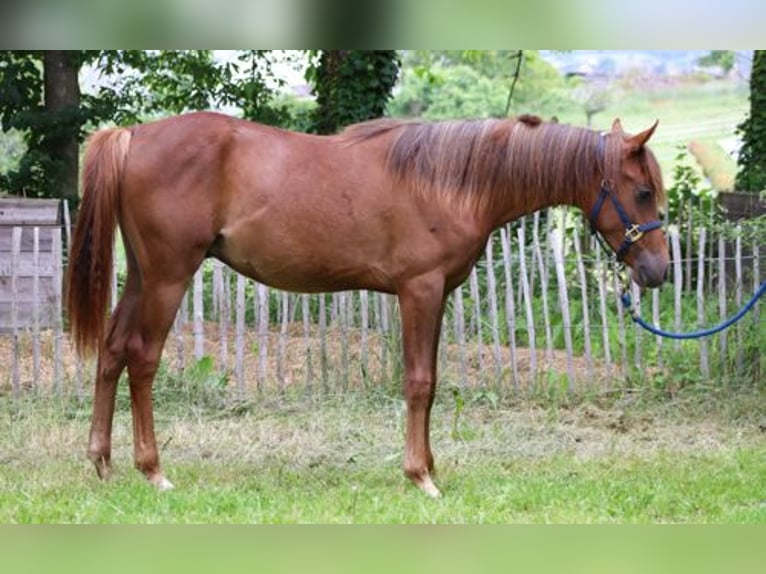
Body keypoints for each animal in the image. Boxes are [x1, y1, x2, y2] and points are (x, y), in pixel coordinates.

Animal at [66, 112, 668, 500]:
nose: (658, 272)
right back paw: (153, 471)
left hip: (144, 276)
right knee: (143, 360)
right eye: (642, 192)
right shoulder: (419, 291)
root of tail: (133, 135)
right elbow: (419, 383)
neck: (452, 182)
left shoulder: (436, 296)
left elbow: (431, 382)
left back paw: (102, 461)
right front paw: (421, 477)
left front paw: (429, 466)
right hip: (169, 277)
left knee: (112, 351)